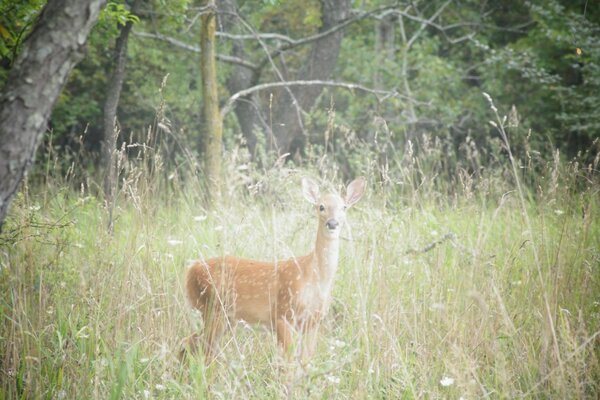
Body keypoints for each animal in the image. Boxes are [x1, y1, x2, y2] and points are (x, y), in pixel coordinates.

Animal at [182, 177, 366, 362]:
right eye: (321, 206)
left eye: (344, 207)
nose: (332, 223)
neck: (315, 278)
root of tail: (191, 270)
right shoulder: (283, 313)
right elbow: (288, 363)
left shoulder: (313, 321)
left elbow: (306, 361)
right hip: (212, 308)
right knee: (200, 348)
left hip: (225, 317)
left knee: (190, 343)